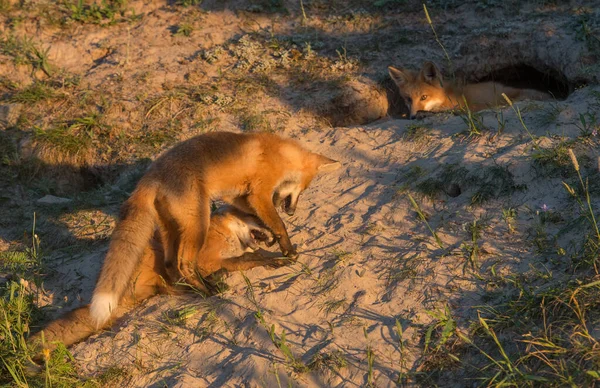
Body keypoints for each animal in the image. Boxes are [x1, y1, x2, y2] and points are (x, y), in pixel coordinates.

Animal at [28, 208, 282, 350]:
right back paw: (212, 283)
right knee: (175, 286)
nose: (276, 232)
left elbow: (246, 257)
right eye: (253, 216)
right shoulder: (204, 260)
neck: (225, 234)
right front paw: (272, 258)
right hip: (156, 253)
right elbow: (245, 258)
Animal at [91, 132, 340, 328]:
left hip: (171, 228)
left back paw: (196, 289)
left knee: (171, 264)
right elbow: (277, 224)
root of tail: (151, 176)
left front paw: (269, 238)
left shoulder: (237, 195)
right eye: (303, 188)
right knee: (184, 262)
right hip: (198, 222)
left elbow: (256, 218)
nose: (291, 211)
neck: (277, 152)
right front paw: (287, 248)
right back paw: (208, 291)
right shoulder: (259, 193)